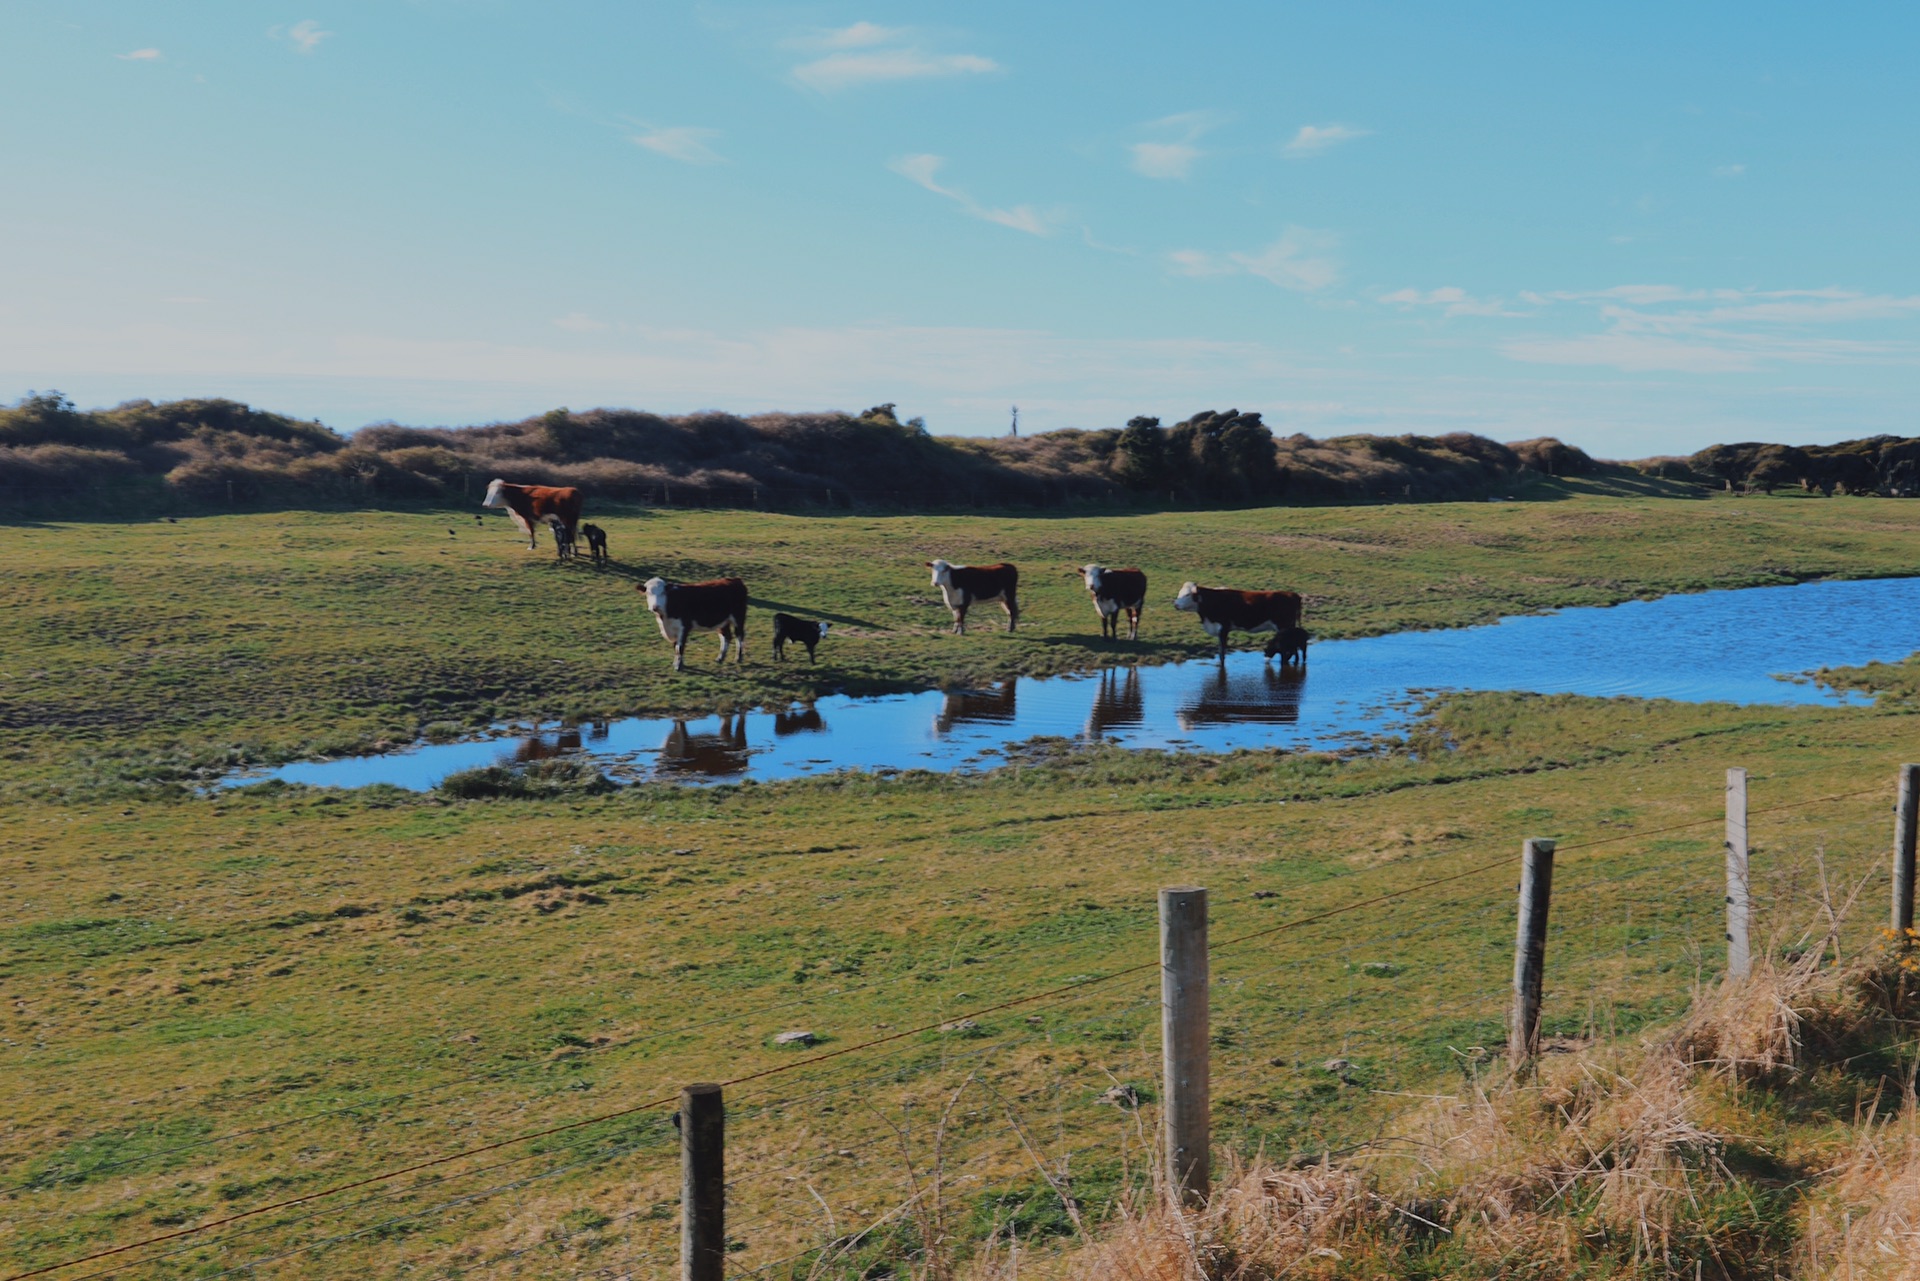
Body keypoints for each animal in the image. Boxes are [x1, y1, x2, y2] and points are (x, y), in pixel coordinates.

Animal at [1167, 580, 1305, 660]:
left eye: (1187, 595)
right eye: (1179, 593)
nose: (1175, 605)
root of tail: (1293, 595)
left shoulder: (1223, 628)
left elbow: (1222, 653)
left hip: (1284, 627)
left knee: (1290, 651)